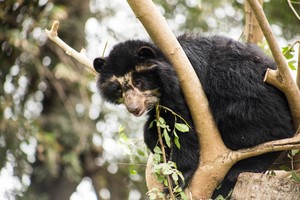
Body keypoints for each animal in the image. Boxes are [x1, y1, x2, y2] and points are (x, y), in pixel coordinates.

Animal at [94, 34, 296, 198]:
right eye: (119, 89)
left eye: (138, 82)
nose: (134, 108)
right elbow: (155, 129)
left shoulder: (185, 85)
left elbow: (184, 124)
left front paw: (176, 179)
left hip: (255, 110)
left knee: (262, 133)